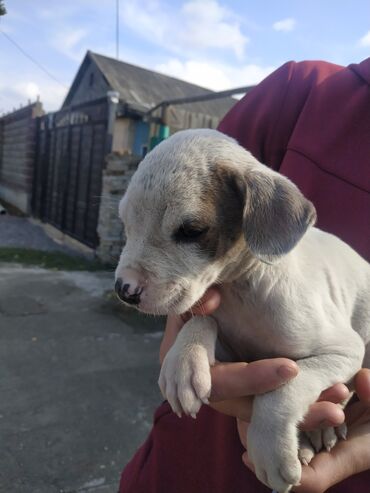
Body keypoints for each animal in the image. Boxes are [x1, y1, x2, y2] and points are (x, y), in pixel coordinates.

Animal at [114, 129, 368, 490]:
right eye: (126, 224)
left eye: (191, 231)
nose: (124, 290)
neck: (243, 288)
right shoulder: (228, 341)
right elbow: (202, 320)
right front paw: (184, 363)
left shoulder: (344, 349)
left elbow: (285, 387)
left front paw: (269, 450)